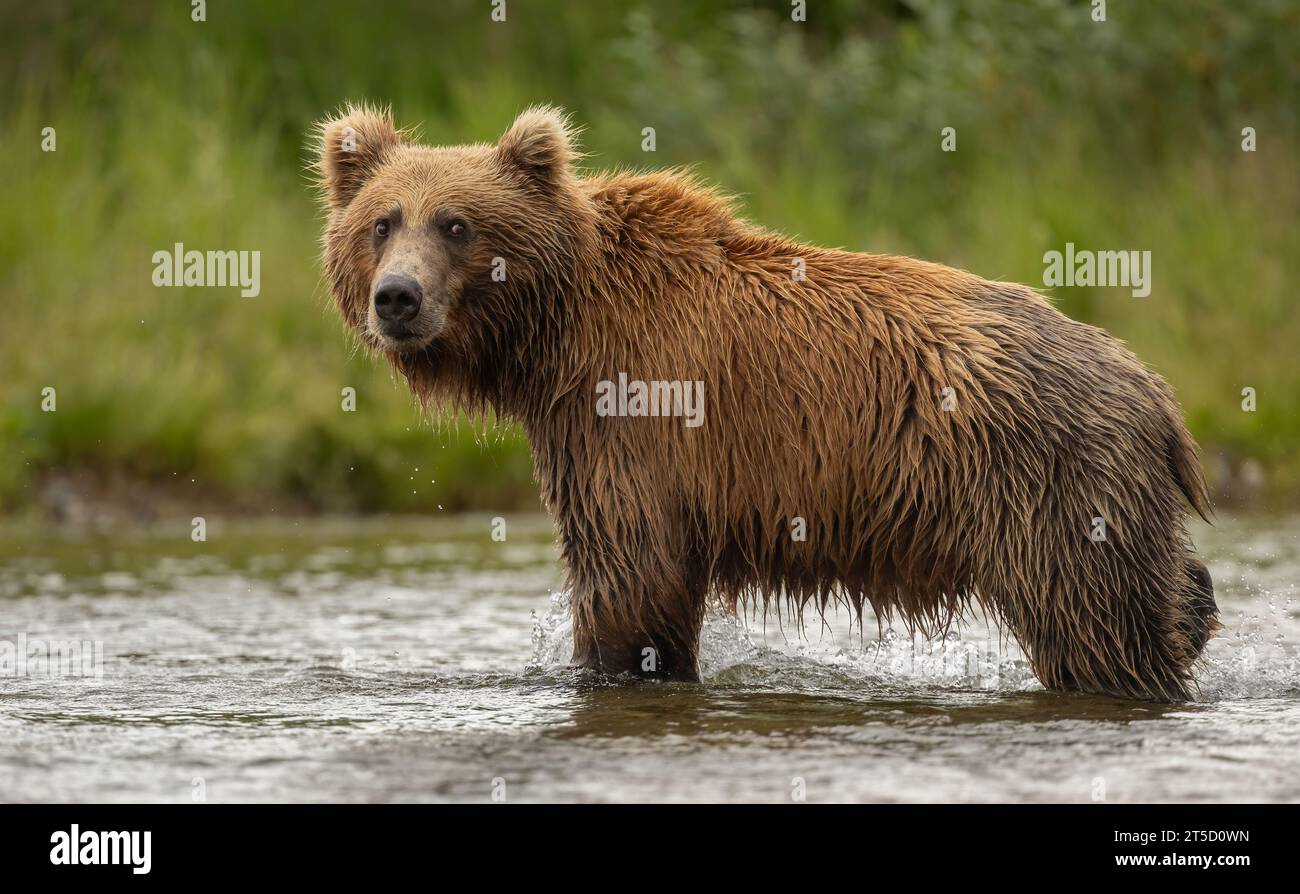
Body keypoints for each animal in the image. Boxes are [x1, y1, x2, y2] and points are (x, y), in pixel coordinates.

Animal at [312, 104, 1218, 701]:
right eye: (382, 222)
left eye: (456, 224)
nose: (397, 299)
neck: (557, 330)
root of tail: (1152, 389)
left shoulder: (632, 417)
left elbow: (629, 572)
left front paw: (611, 667)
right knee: (1168, 585)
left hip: (1049, 487)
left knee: (1096, 626)